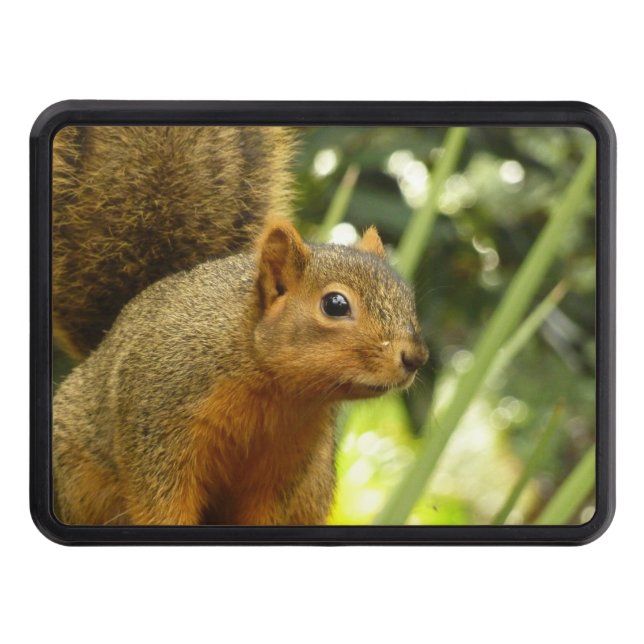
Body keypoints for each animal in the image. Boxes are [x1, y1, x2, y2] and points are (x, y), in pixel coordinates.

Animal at [52, 125, 429, 526]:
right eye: (335, 305)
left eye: (407, 296)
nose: (415, 357)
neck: (274, 390)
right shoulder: (158, 425)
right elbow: (161, 503)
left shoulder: (287, 465)